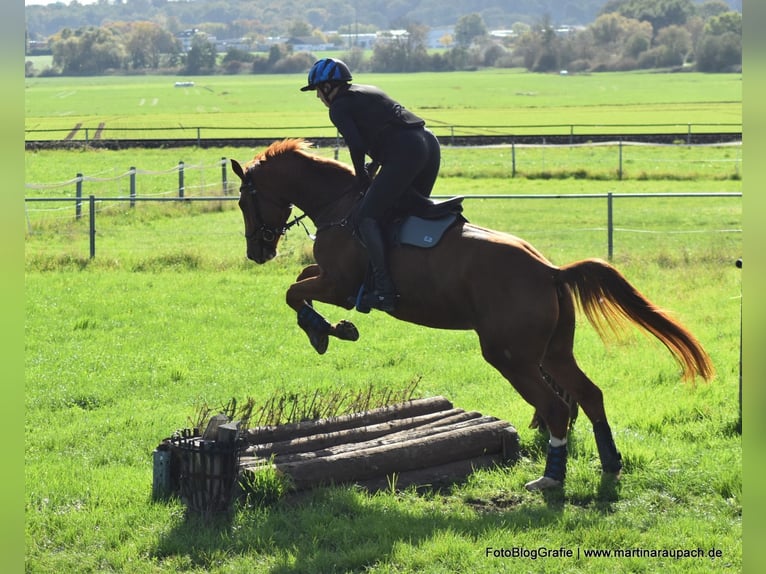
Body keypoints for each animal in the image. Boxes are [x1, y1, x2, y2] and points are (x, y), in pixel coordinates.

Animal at [231, 138, 714, 492]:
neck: (340, 207)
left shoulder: (341, 286)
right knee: (590, 395)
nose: (256, 252)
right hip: (554, 351)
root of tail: (548, 270)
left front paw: (325, 331)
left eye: (242, 202)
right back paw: (610, 463)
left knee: (556, 407)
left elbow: (294, 291)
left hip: (510, 356)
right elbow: (299, 281)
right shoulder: (331, 279)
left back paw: (551, 478)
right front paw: (331, 329)